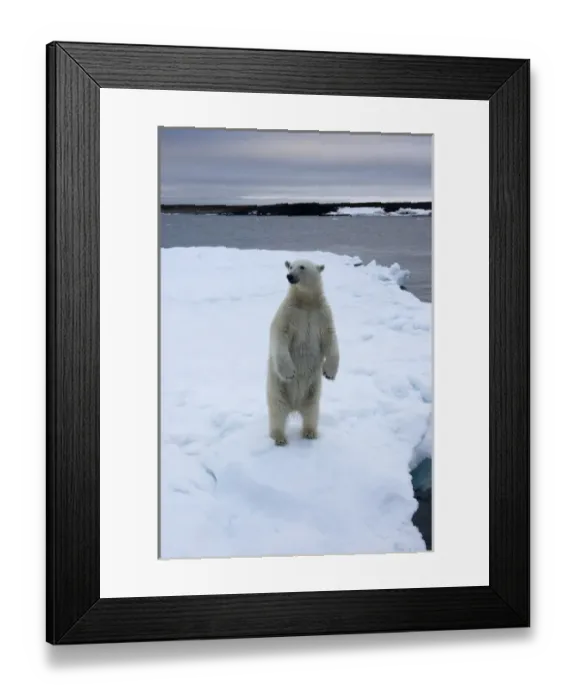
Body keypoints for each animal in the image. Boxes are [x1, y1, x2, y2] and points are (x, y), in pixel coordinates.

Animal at [266, 258, 340, 446]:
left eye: (302, 267)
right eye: (290, 266)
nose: (290, 276)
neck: (306, 303)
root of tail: (294, 406)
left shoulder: (322, 315)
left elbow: (330, 338)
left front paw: (329, 373)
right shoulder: (288, 313)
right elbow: (280, 335)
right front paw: (290, 372)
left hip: (313, 389)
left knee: (312, 410)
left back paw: (310, 432)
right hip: (277, 387)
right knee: (277, 410)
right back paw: (279, 437)